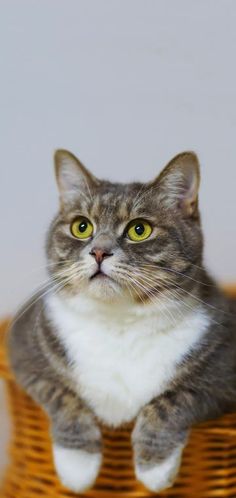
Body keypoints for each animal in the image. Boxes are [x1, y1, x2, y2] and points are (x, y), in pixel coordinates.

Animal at [7, 149, 236, 494]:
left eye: (139, 229)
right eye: (81, 227)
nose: (99, 252)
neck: (120, 322)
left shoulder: (223, 370)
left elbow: (174, 399)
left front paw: (155, 467)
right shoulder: (24, 351)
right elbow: (61, 394)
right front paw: (78, 464)